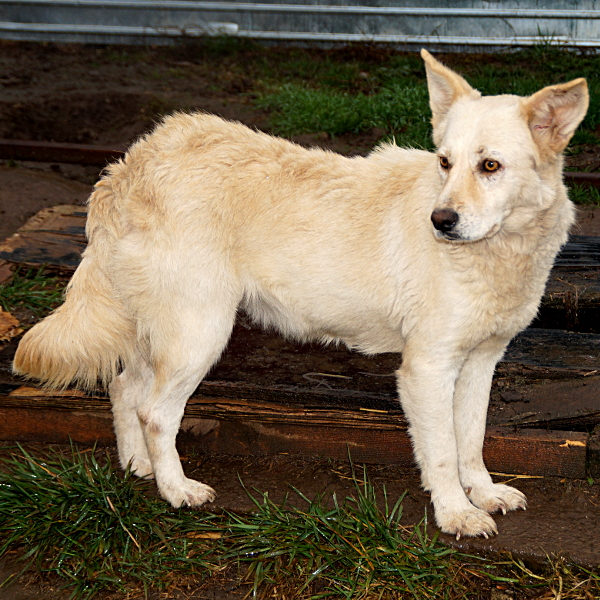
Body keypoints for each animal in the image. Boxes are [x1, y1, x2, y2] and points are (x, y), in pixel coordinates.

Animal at [11, 51, 588, 540]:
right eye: (445, 162)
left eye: (490, 166)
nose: (440, 220)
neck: (502, 251)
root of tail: (135, 160)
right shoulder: (427, 368)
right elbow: (443, 452)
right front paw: (456, 515)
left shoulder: (480, 362)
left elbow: (471, 440)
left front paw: (483, 495)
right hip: (200, 333)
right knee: (155, 412)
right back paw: (176, 490)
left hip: (161, 332)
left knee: (124, 390)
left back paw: (139, 468)